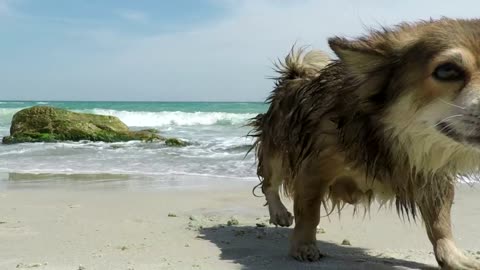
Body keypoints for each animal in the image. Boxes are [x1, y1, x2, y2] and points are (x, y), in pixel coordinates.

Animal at [249, 17, 480, 268]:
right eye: (447, 70)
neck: (391, 137)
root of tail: (293, 76)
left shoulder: (432, 175)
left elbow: (439, 221)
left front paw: (452, 256)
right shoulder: (314, 167)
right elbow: (309, 212)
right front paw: (303, 245)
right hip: (276, 148)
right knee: (269, 182)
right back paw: (279, 212)